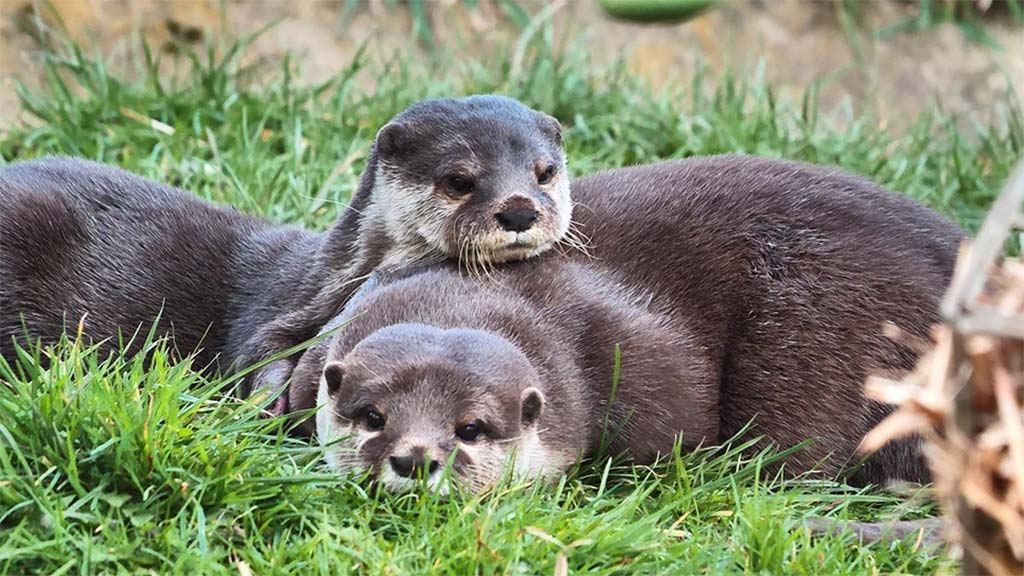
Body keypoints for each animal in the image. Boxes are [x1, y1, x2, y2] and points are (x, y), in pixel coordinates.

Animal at [0, 95, 570, 413]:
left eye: (545, 172)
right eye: (459, 179)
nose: (519, 210)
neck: (342, 276)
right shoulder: (283, 306)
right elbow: (254, 353)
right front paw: (264, 404)